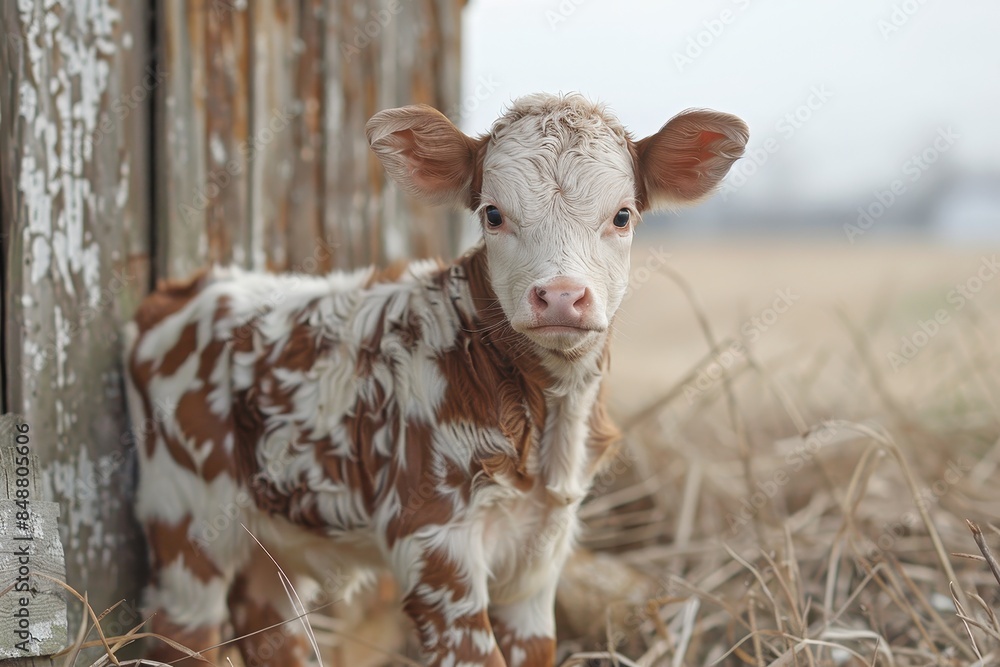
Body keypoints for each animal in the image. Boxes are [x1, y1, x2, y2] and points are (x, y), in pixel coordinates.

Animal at [123, 92, 747, 667]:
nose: (561, 296)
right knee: (183, 630)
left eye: (622, 215)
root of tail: (189, 286)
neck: (547, 417)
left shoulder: (541, 552)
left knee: (269, 621)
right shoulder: (433, 546)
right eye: (493, 214)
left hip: (275, 525)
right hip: (183, 519)